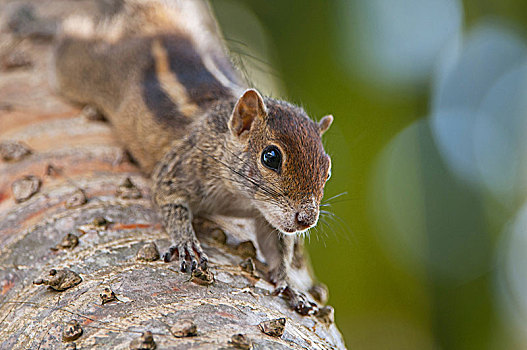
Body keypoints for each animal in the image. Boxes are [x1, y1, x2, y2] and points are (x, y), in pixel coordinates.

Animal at [52, 0, 334, 314]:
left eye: (327, 169)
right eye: (270, 157)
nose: (306, 220)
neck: (240, 198)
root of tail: (160, 30)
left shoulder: (267, 216)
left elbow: (276, 246)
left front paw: (289, 284)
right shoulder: (178, 168)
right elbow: (169, 199)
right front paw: (187, 241)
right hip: (84, 68)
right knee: (70, 41)